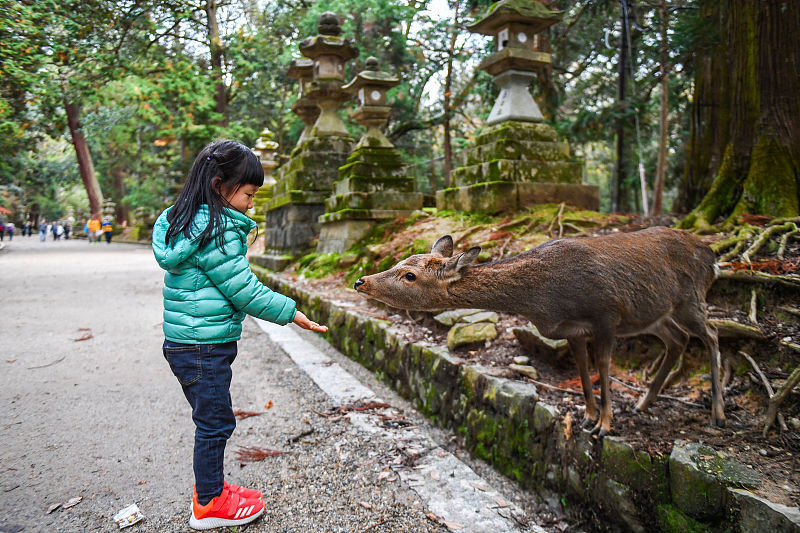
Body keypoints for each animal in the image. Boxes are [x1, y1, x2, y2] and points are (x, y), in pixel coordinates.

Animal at [354, 225, 724, 436]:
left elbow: (603, 368)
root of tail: (713, 255)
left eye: (410, 276)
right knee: (679, 339)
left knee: (711, 335)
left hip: (691, 297)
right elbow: (582, 369)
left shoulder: (606, 315)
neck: (543, 300)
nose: (361, 281)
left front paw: (604, 425)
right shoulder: (571, 329)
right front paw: (587, 417)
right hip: (656, 314)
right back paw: (644, 402)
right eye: (402, 261)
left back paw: (718, 413)